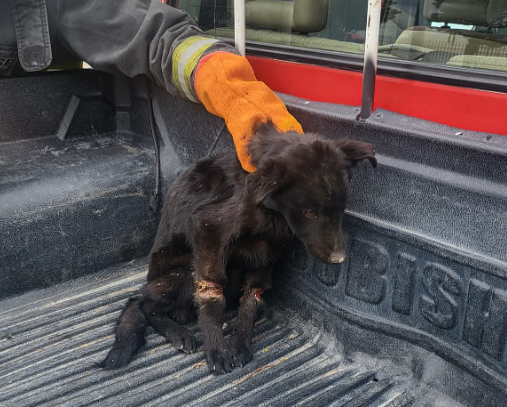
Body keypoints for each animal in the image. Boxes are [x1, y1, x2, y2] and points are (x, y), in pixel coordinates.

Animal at [100, 123, 378, 376]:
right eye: (310, 212)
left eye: (341, 209)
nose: (339, 259)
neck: (269, 209)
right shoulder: (209, 231)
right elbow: (211, 298)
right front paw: (217, 349)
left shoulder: (265, 255)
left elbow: (251, 300)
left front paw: (240, 342)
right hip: (184, 271)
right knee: (140, 302)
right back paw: (177, 333)